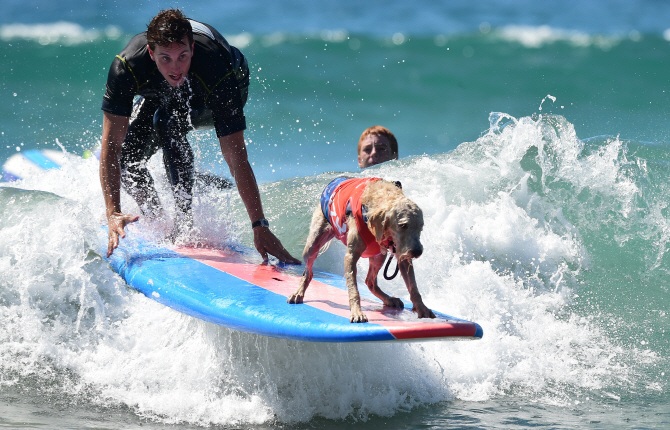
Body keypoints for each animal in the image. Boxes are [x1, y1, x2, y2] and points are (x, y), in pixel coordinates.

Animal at [288, 177, 436, 322]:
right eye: (403, 225)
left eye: (421, 226)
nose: (417, 252)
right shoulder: (351, 256)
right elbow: (353, 288)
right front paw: (357, 312)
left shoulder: (401, 254)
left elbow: (413, 286)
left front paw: (422, 308)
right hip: (312, 245)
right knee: (308, 272)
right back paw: (298, 292)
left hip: (378, 255)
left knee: (370, 282)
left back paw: (389, 299)